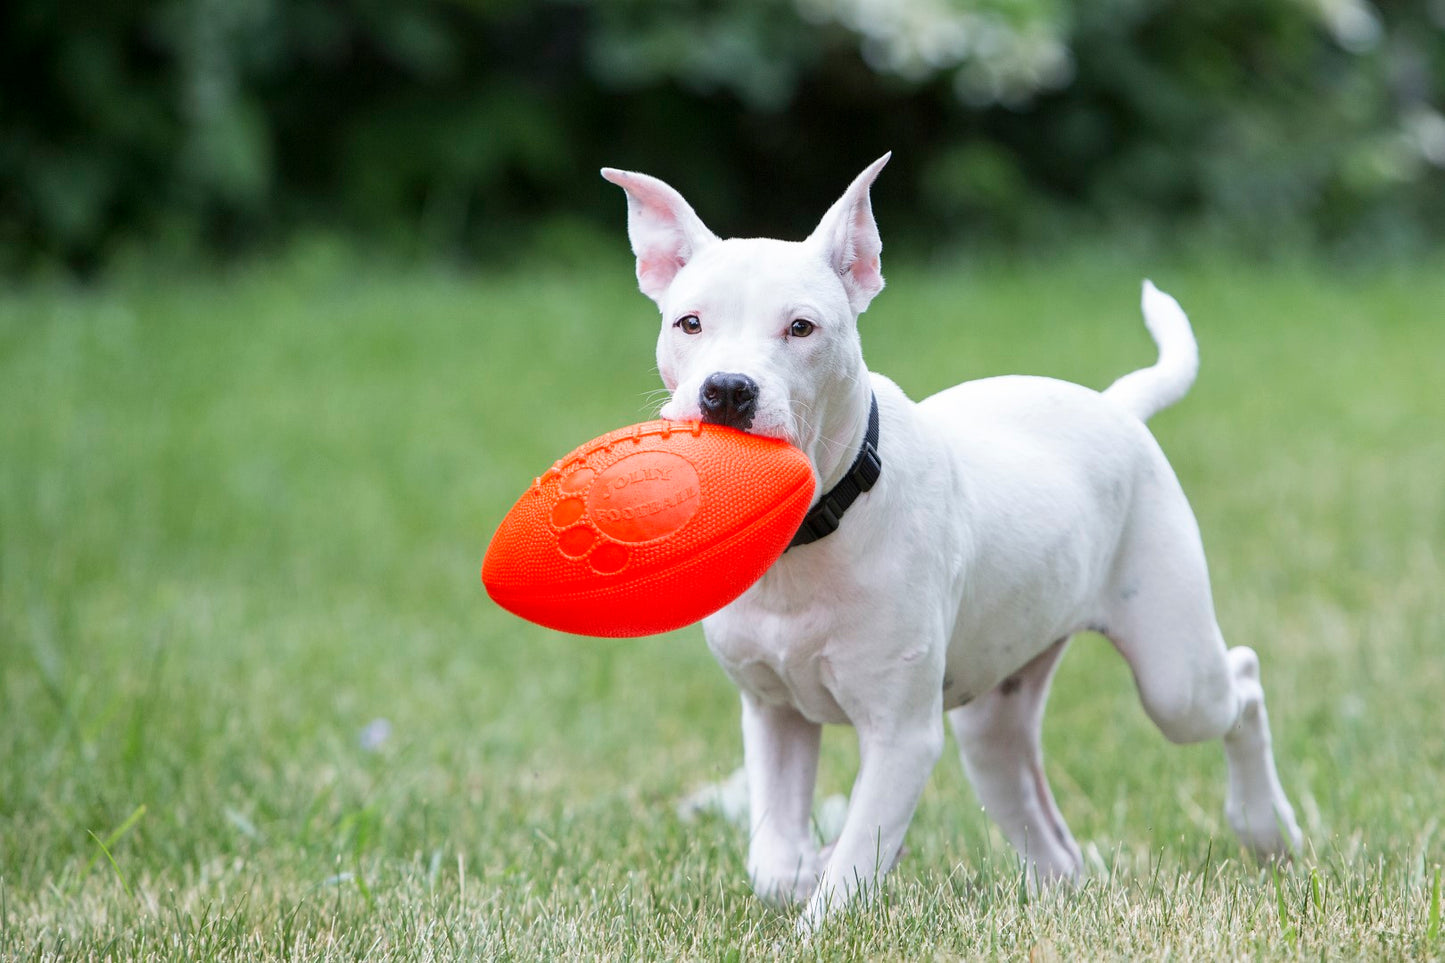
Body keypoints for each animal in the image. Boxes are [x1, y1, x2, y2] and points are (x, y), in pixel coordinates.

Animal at [598, 153, 1300, 925]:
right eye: (688, 323)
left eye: (802, 328)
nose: (726, 390)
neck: (817, 529)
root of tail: (1117, 406)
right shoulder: (772, 711)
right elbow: (774, 856)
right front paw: (802, 867)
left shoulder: (901, 735)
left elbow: (853, 863)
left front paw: (823, 905)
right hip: (993, 721)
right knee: (1047, 833)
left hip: (1175, 674)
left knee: (1240, 682)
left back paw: (1268, 831)